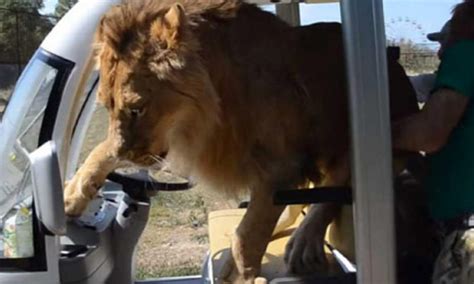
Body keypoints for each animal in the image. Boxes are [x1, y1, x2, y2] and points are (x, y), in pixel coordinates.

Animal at [64, 1, 426, 282]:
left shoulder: (282, 167)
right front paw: (71, 195)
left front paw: (246, 272)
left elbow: (246, 238)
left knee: (336, 186)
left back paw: (302, 243)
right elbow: (102, 149)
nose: (128, 154)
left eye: (137, 108)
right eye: (106, 105)